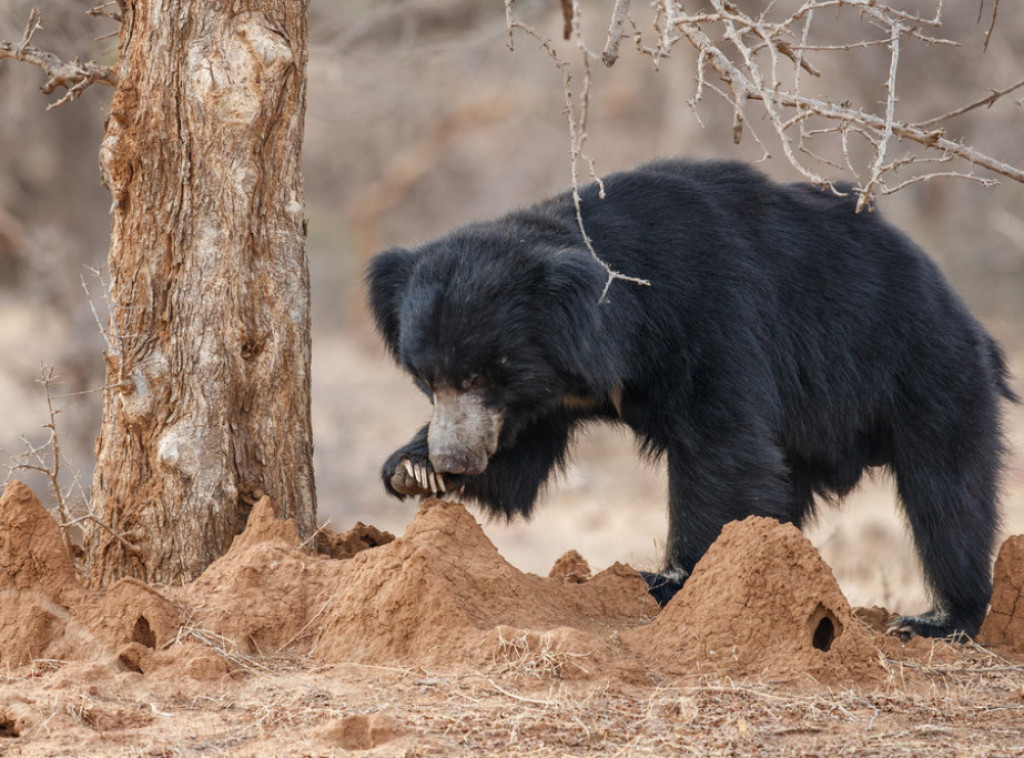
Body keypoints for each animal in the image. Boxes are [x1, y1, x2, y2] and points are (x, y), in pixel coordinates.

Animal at [366, 159, 1015, 639]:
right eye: (428, 378)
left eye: (484, 376)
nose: (453, 458)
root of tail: (964, 315)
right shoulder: (548, 395)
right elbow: (519, 463)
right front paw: (412, 471)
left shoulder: (709, 315)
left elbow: (721, 447)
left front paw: (672, 580)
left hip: (924, 372)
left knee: (948, 495)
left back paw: (942, 619)